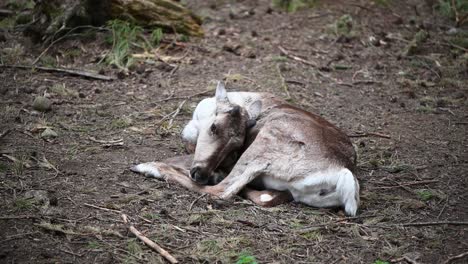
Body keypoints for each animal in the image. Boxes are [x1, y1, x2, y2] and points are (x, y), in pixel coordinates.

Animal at [132, 81, 358, 216]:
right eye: (214, 127)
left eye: (236, 147)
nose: (201, 174)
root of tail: (341, 172)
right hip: (294, 191)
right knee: (266, 197)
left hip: (262, 147)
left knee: (223, 191)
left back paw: (149, 167)